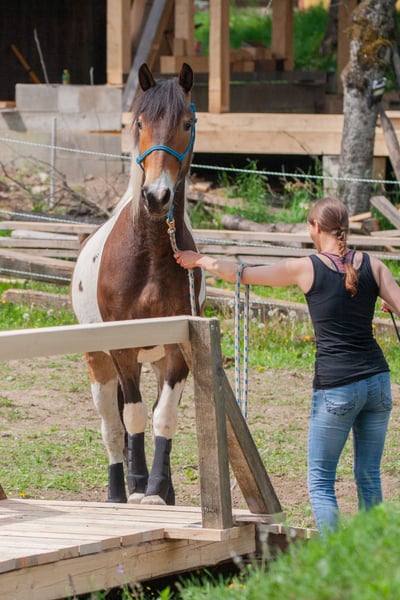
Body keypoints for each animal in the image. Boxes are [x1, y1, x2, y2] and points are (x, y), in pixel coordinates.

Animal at [71, 62, 205, 505]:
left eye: (186, 123)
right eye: (140, 122)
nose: (157, 196)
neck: (149, 254)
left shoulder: (178, 350)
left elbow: (164, 416)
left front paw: (158, 490)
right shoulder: (121, 350)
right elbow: (132, 416)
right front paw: (137, 485)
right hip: (98, 363)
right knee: (112, 429)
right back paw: (118, 491)